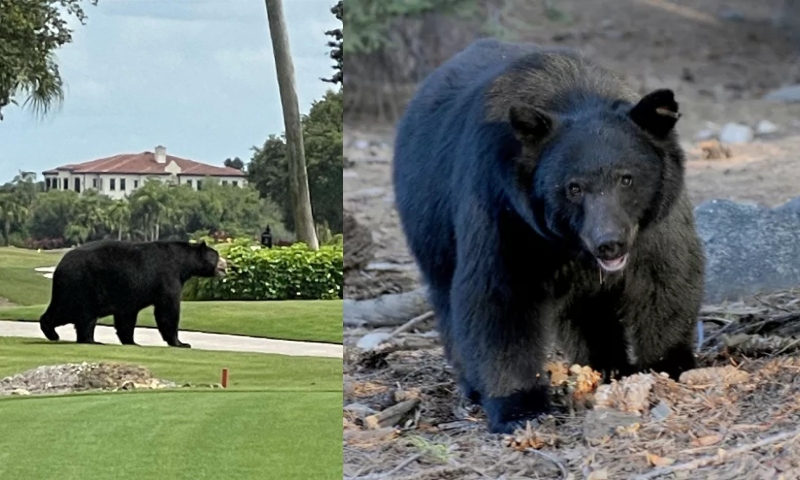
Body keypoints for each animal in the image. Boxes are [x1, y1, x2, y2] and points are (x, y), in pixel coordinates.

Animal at [39, 240, 227, 348]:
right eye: (216, 255)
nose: (226, 264)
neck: (182, 263)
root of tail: (61, 265)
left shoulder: (129, 292)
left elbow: (127, 315)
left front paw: (131, 341)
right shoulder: (167, 276)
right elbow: (168, 309)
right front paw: (180, 342)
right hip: (84, 286)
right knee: (80, 314)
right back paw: (84, 339)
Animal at [392, 39, 705, 434]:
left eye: (627, 178)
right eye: (573, 187)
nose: (609, 243)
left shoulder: (655, 222)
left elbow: (665, 278)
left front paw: (669, 365)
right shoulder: (503, 207)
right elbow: (500, 296)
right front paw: (520, 407)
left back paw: (605, 366)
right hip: (429, 222)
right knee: (447, 298)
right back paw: (474, 386)